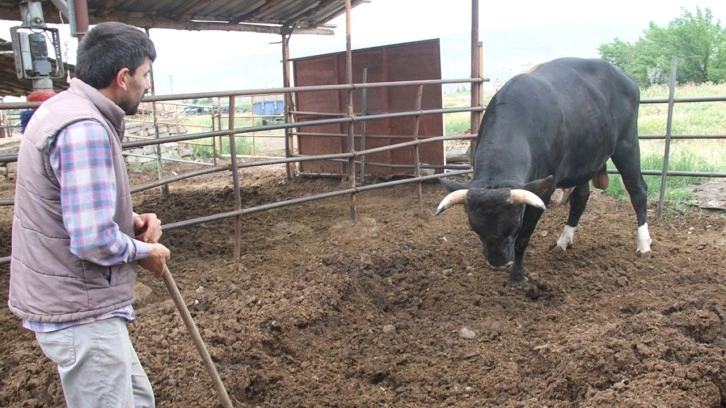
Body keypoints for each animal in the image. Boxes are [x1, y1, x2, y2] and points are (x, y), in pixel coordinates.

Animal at [438, 57, 656, 286]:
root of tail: (625, 77)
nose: (498, 262)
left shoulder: (543, 190)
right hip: (585, 158)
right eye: (474, 227)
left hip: (627, 144)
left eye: (515, 225)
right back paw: (564, 241)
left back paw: (643, 244)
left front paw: (516, 278)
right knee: (581, 198)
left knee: (638, 190)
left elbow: (523, 239)